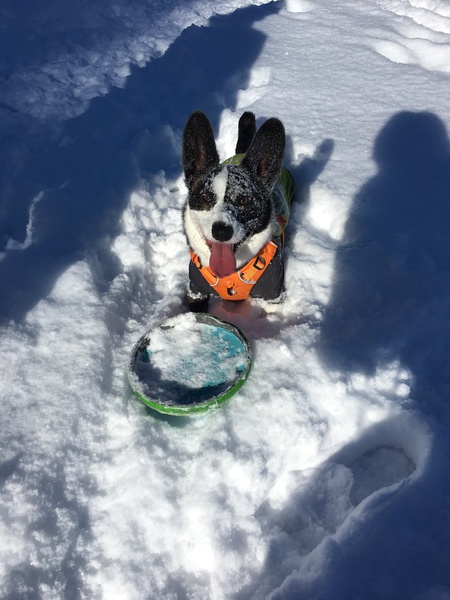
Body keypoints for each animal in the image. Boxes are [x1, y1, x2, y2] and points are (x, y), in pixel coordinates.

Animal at [183, 109, 292, 312]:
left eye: (244, 200)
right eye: (206, 197)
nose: (221, 231)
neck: (230, 276)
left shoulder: (274, 296)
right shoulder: (195, 290)